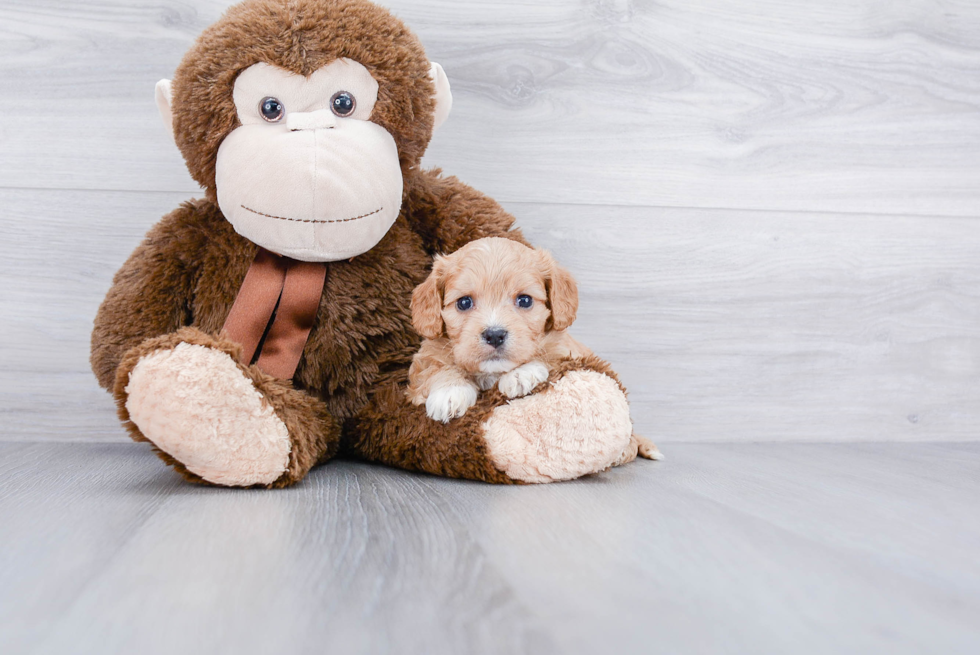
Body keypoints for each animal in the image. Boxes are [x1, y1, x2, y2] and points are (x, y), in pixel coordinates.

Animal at [402, 238, 664, 458]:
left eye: (525, 300)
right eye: (464, 302)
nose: (494, 334)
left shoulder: (568, 351)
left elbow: (548, 356)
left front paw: (520, 374)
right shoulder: (425, 359)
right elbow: (437, 367)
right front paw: (449, 392)